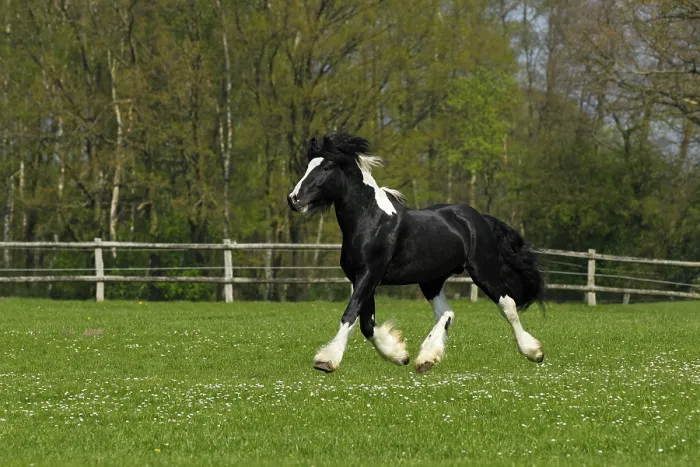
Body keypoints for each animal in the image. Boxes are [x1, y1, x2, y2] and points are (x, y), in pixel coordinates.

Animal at [287, 132, 545, 374]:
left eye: (326, 167)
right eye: (308, 166)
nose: (293, 199)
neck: (371, 220)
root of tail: (479, 218)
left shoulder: (369, 275)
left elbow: (350, 315)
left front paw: (326, 361)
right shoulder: (362, 278)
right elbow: (367, 324)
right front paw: (399, 355)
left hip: (483, 271)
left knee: (508, 306)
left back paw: (534, 352)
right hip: (431, 280)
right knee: (446, 313)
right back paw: (426, 359)